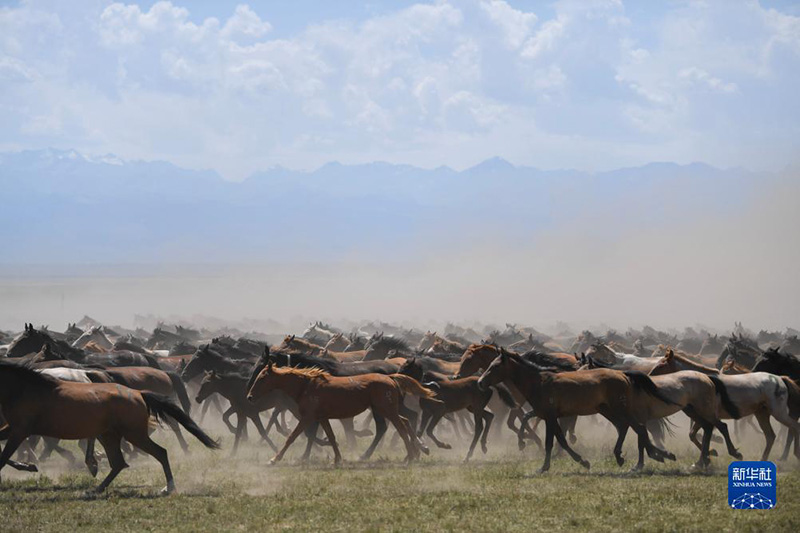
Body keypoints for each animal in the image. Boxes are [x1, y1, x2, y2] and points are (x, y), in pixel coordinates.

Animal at [0, 360, 219, 492]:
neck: (24, 389)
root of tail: (139, 394)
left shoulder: (21, 430)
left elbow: (3, 457)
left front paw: (29, 464)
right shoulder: (14, 429)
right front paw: (28, 465)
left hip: (134, 434)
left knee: (159, 452)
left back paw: (169, 487)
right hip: (109, 435)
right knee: (119, 462)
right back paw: (97, 485)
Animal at [478, 350, 672, 470]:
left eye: (495, 366)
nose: (480, 382)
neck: (539, 382)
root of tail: (623, 374)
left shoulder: (550, 416)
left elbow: (551, 441)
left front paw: (542, 465)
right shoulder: (550, 416)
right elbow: (561, 439)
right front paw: (582, 461)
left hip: (620, 409)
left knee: (638, 428)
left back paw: (655, 456)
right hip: (608, 411)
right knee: (627, 427)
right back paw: (629, 456)